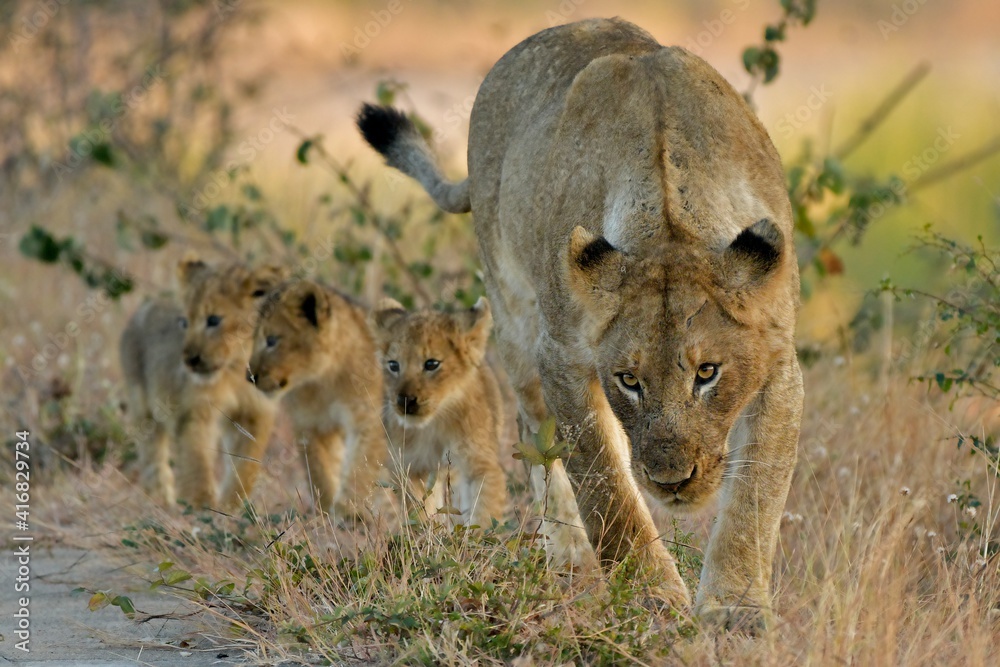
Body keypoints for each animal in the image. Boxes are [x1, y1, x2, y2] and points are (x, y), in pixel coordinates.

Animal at [119, 257, 287, 509]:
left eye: (213, 320)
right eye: (184, 322)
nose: (189, 360)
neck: (234, 370)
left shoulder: (256, 413)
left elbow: (246, 464)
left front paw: (233, 504)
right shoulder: (195, 411)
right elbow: (196, 459)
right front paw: (202, 505)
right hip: (143, 406)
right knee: (153, 455)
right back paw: (160, 499)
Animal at [246, 279, 388, 519]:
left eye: (272, 340)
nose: (249, 376)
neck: (323, 380)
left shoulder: (369, 420)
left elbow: (360, 467)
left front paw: (347, 510)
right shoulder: (312, 426)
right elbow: (319, 471)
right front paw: (327, 511)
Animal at [370, 297, 507, 527]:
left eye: (431, 364)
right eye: (393, 365)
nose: (405, 400)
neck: (434, 424)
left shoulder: (480, 462)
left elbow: (483, 513)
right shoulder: (410, 467)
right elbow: (420, 510)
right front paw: (427, 533)